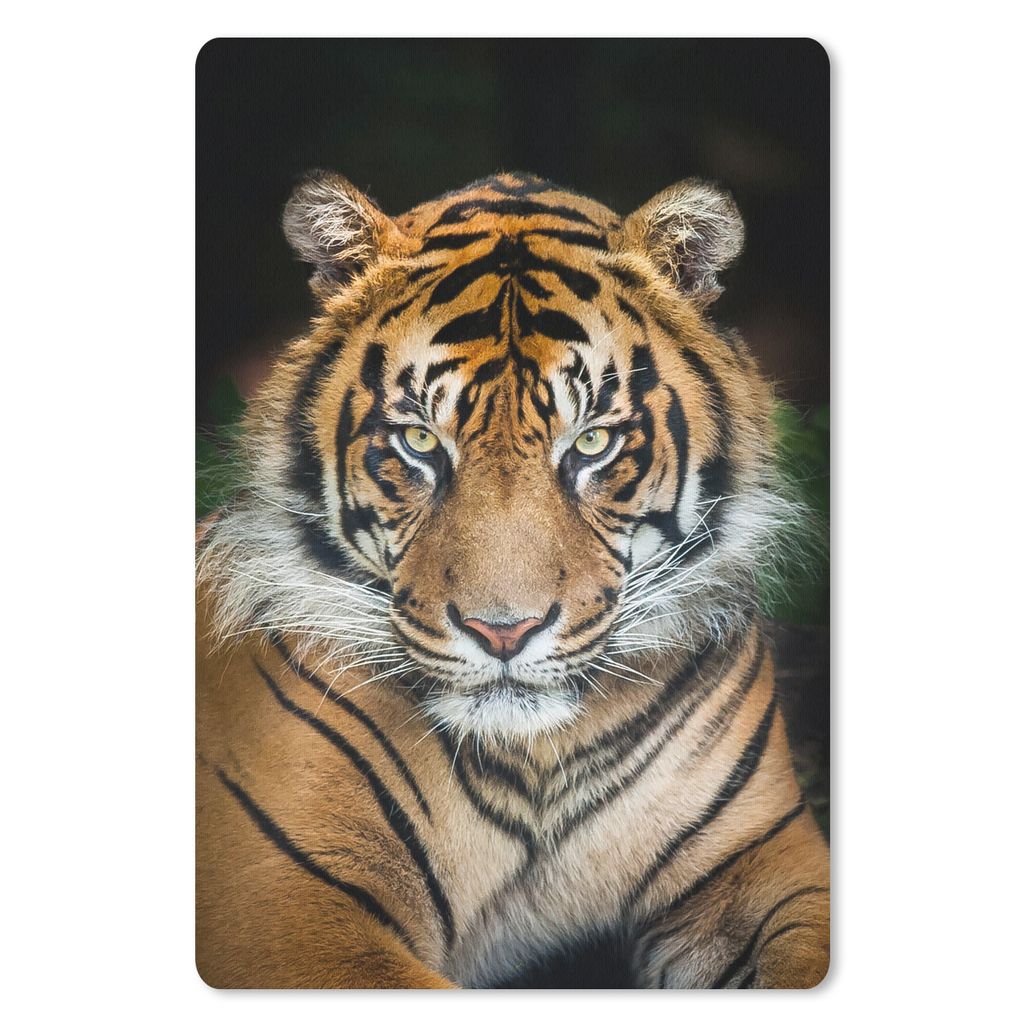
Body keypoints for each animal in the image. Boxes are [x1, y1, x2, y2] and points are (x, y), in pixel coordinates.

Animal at [196, 170, 830, 989]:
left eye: (591, 442)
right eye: (419, 440)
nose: (504, 631)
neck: (537, 766)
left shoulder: (770, 862)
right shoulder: (290, 910)